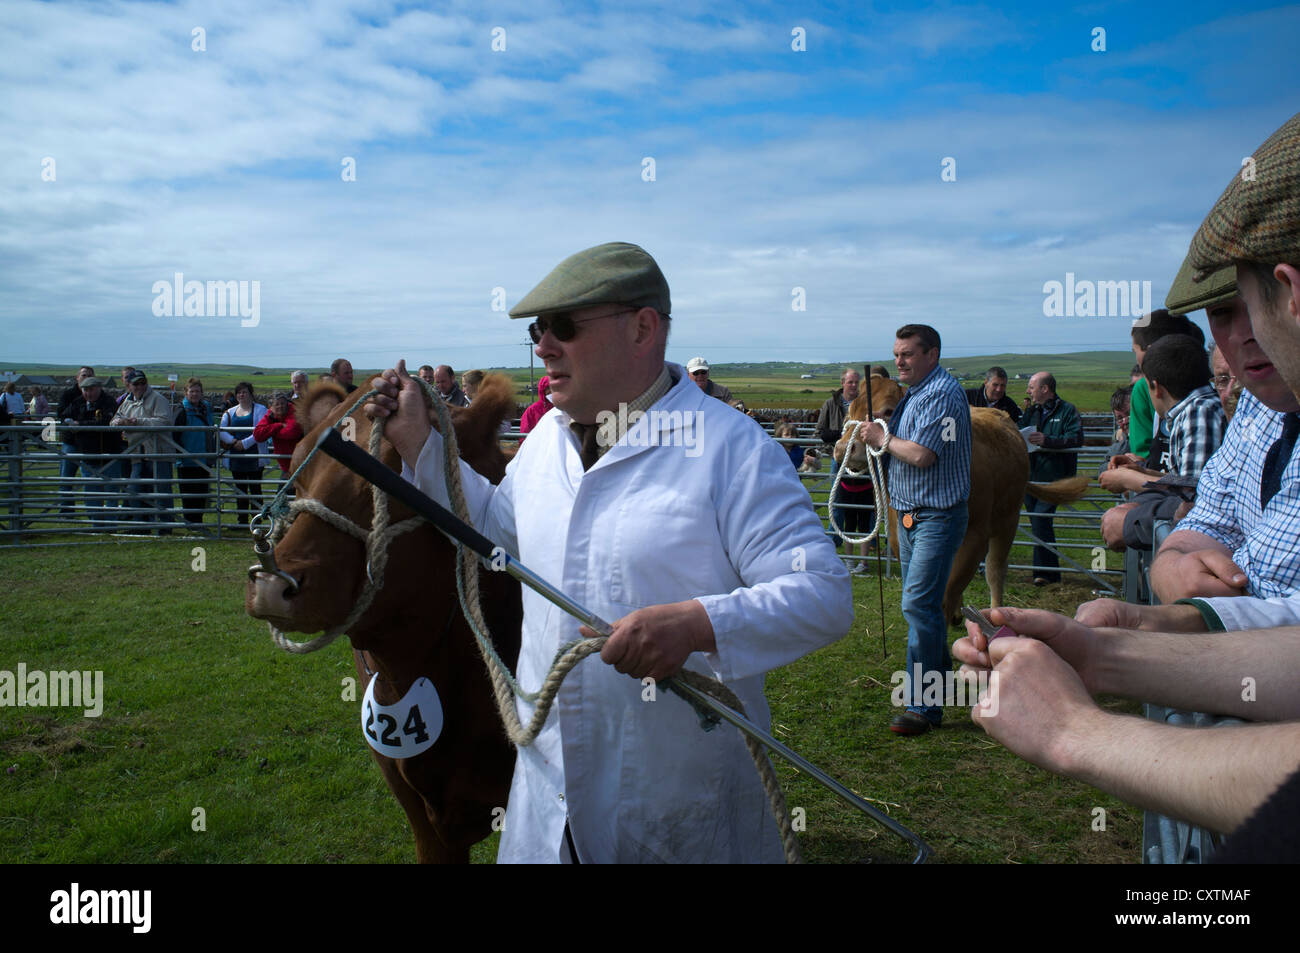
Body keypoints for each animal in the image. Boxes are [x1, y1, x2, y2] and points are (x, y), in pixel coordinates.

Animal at [832, 374, 1086, 629]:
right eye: (849, 411)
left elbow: (947, 590)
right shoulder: (898, 536)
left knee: (995, 570)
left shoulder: (975, 536)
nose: (844, 448)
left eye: (887, 410)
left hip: (1008, 520)